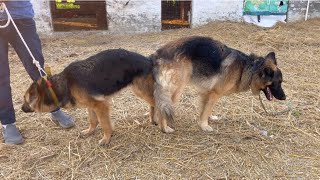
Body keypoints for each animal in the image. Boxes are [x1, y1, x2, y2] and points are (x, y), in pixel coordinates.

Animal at [21, 48, 155, 145]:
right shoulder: (91, 105)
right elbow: (92, 120)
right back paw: (152, 119)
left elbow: (104, 124)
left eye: (26, 99)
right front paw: (90, 131)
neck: (64, 84)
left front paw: (106, 138)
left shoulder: (101, 105)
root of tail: (148, 59)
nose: (21, 109)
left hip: (139, 90)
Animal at [151, 35, 286, 133]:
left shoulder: (206, 92)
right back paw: (164, 128)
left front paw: (208, 119)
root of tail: (159, 53)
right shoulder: (214, 93)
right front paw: (205, 126)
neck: (248, 68)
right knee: (162, 107)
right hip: (176, 90)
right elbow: (207, 109)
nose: (285, 97)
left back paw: (154, 121)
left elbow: (205, 109)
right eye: (277, 83)